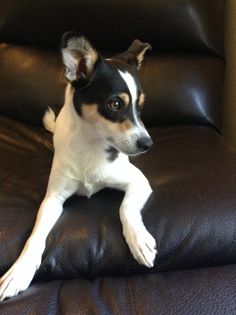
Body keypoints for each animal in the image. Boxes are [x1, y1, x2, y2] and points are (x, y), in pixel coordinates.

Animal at [0, 32, 157, 302]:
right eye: (115, 104)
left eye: (140, 105)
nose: (147, 144)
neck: (91, 143)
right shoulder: (52, 199)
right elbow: (35, 236)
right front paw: (19, 271)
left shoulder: (139, 181)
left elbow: (125, 208)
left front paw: (139, 241)